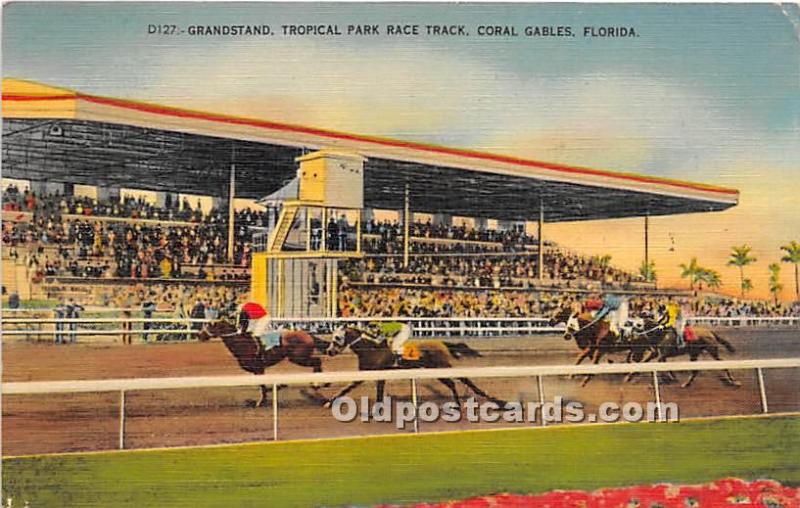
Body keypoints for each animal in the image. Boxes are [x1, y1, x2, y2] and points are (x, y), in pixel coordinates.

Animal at [197, 322, 328, 404]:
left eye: (210, 326)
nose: (199, 335)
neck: (244, 344)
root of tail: (307, 334)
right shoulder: (257, 370)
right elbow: (263, 385)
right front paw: (279, 386)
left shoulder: (258, 368)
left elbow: (262, 385)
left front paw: (261, 401)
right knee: (317, 361)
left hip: (298, 358)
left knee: (317, 361)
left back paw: (318, 384)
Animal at [324, 328, 506, 406]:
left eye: (337, 338)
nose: (329, 351)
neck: (371, 349)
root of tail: (441, 343)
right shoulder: (367, 374)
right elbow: (348, 388)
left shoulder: (378, 374)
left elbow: (367, 392)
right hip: (435, 370)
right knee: (452, 383)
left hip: (441, 366)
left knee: (462, 379)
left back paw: (494, 400)